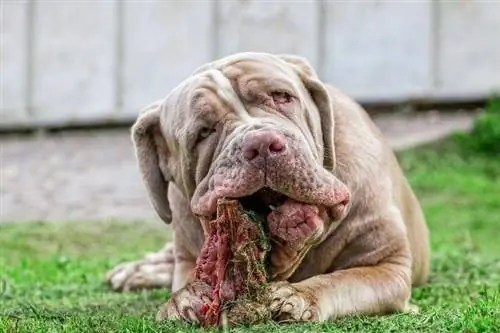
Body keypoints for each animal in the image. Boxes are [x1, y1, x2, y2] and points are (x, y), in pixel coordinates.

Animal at [106, 52, 430, 322]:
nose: (261, 143)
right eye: (203, 132)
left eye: (282, 97)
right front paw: (186, 298)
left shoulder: (388, 266)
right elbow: (190, 276)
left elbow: (340, 279)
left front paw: (297, 297)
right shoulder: (189, 255)